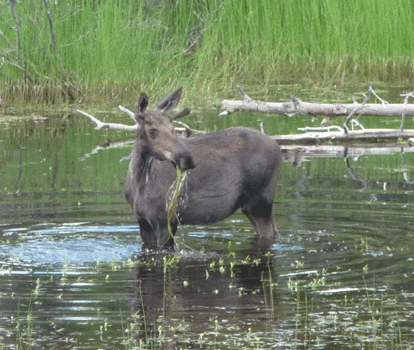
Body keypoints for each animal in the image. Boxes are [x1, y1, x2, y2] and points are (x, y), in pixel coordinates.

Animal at [78, 87, 282, 249]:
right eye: (152, 131)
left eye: (172, 127)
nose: (187, 159)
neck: (139, 184)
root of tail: (278, 148)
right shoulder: (143, 221)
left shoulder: (166, 219)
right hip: (252, 206)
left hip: (260, 202)